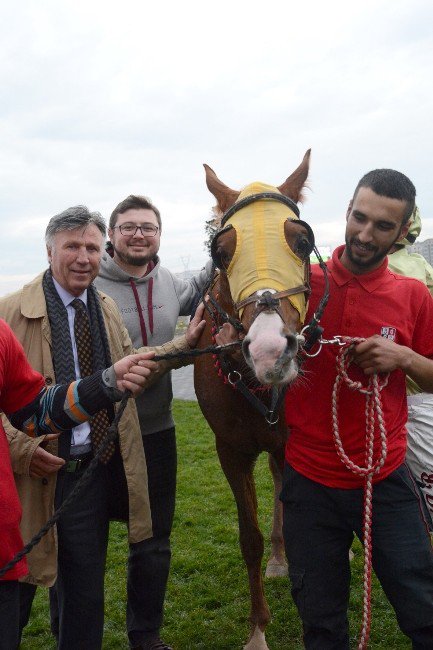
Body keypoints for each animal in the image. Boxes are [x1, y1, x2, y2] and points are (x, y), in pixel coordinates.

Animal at [193, 151, 318, 648]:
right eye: (222, 252)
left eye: (302, 243)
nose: (269, 349)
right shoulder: (231, 450)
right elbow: (249, 538)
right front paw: (258, 629)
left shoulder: (293, 444)